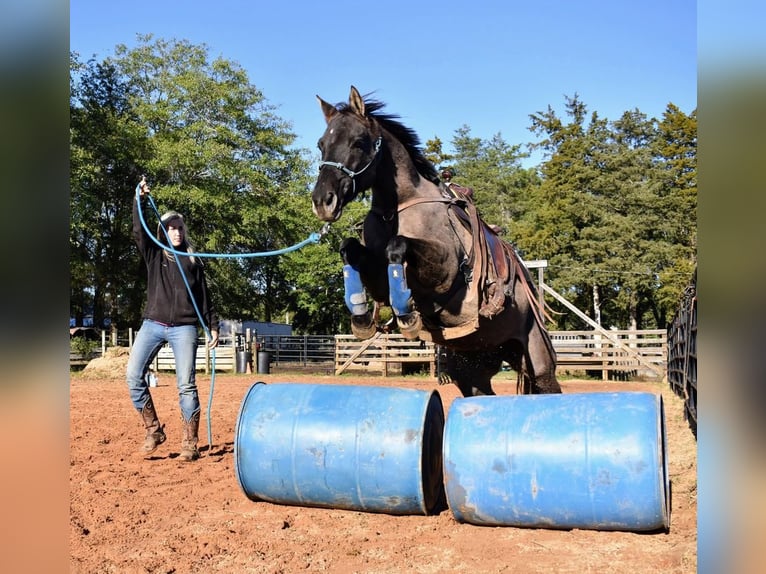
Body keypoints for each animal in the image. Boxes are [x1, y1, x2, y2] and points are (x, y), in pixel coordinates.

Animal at [314, 85, 564, 398]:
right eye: (321, 145)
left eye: (358, 142)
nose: (322, 201)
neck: (396, 210)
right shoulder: (378, 277)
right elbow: (349, 249)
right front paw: (361, 318)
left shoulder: (445, 273)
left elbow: (398, 245)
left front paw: (407, 316)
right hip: (473, 367)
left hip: (538, 361)